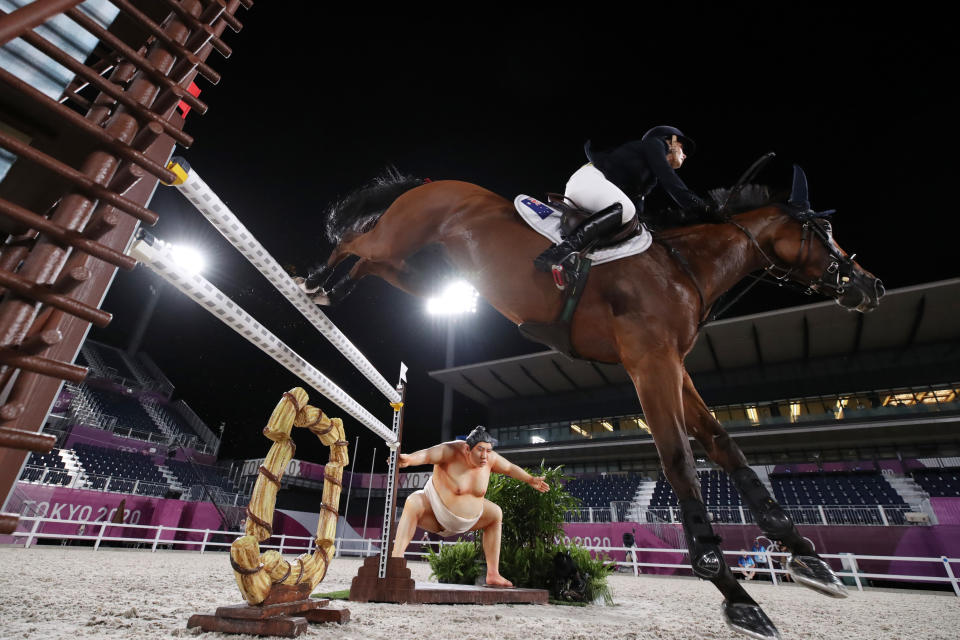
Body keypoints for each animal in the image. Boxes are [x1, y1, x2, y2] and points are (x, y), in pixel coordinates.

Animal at [302, 168, 884, 636]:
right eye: (823, 231)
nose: (870, 287)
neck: (684, 268)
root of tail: (433, 182)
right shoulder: (649, 364)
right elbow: (680, 461)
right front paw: (737, 598)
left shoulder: (674, 368)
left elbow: (723, 446)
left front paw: (809, 560)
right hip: (399, 237)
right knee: (355, 242)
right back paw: (314, 279)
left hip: (409, 263)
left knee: (371, 263)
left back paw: (332, 288)